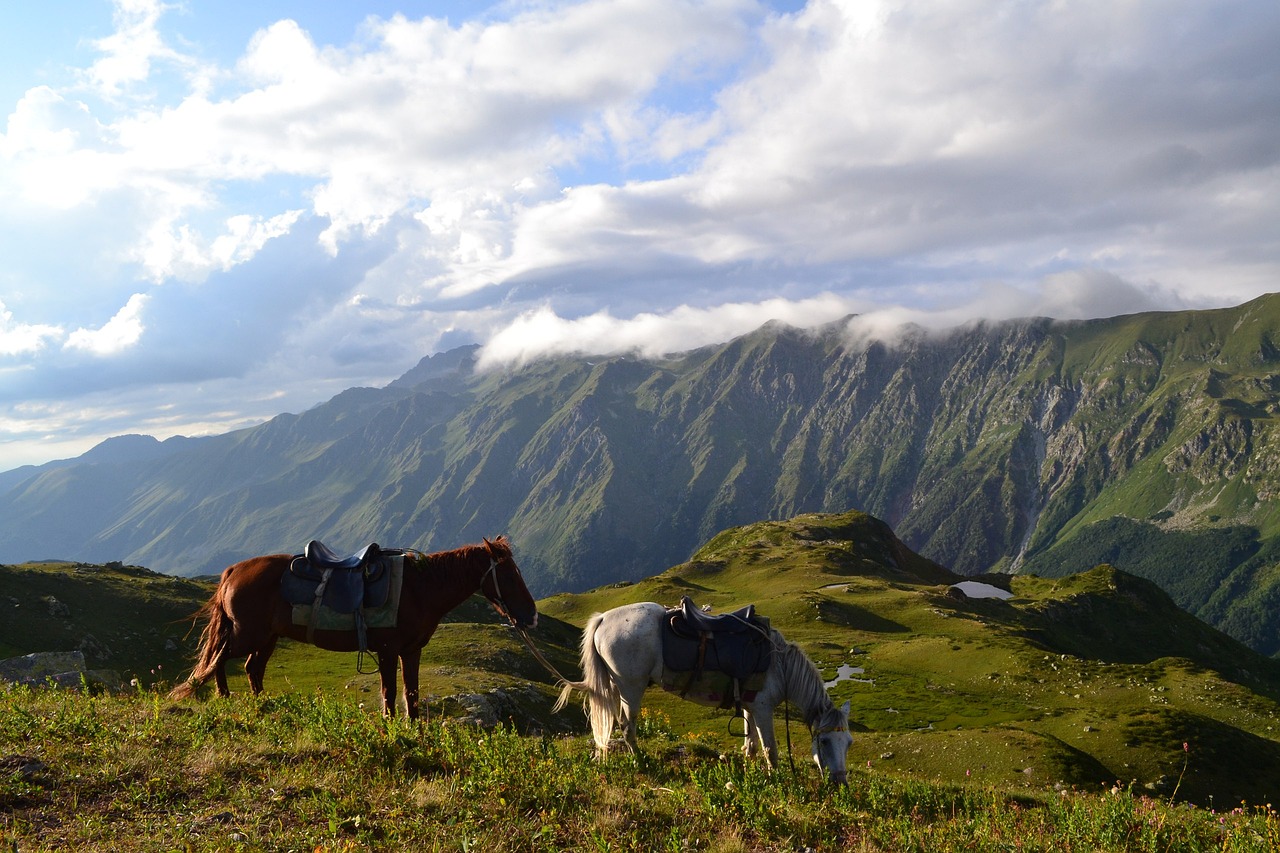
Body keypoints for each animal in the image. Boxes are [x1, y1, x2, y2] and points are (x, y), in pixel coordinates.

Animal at [167, 535, 537, 712]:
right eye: (508, 574)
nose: (531, 615)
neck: (420, 588)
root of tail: (232, 571)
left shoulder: (411, 651)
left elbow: (412, 695)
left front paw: (415, 731)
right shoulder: (388, 650)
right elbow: (390, 694)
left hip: (266, 638)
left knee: (251, 669)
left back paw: (264, 706)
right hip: (247, 634)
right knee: (219, 661)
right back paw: (226, 699)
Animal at [555, 596, 855, 783]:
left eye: (849, 743)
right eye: (825, 741)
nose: (840, 783)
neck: (779, 664)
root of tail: (604, 618)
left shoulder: (749, 705)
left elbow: (750, 745)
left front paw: (750, 772)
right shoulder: (762, 708)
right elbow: (770, 750)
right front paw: (776, 781)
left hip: (616, 687)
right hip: (631, 686)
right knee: (628, 727)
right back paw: (641, 763)